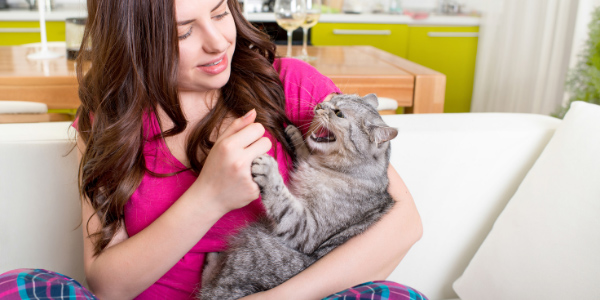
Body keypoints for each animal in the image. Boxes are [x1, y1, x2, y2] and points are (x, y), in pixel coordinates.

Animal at [200, 94, 398, 300]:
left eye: (339, 114)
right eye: (334, 96)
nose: (319, 105)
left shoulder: (308, 229)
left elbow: (282, 199)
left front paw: (268, 169)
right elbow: (304, 151)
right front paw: (294, 133)